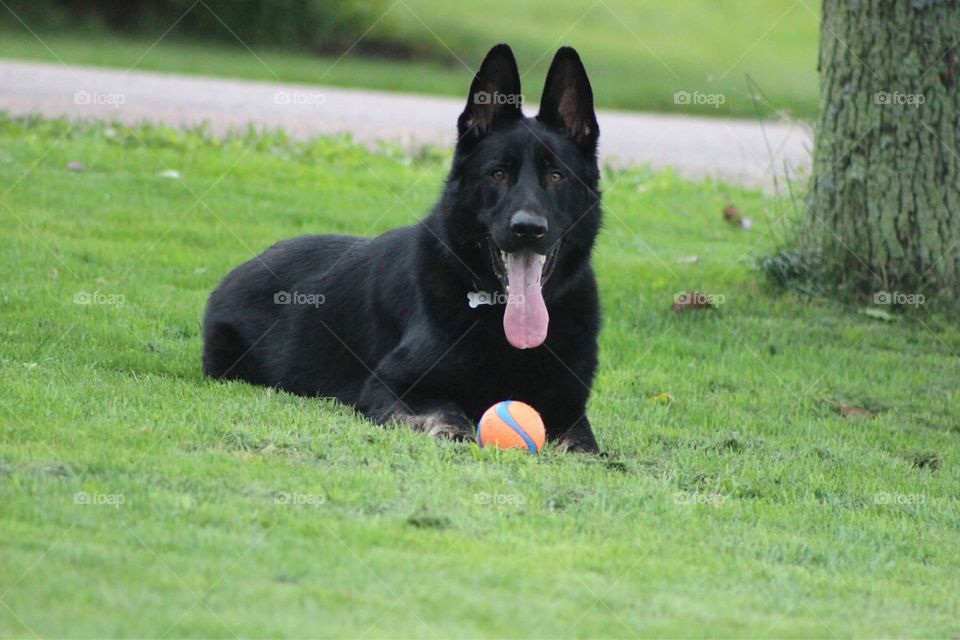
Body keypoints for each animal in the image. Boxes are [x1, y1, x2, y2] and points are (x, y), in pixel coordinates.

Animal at [204, 45, 600, 452]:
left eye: (556, 176)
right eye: (498, 174)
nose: (528, 229)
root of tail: (247, 265)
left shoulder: (569, 409)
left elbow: (583, 443)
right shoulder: (391, 385)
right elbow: (445, 411)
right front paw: (453, 431)